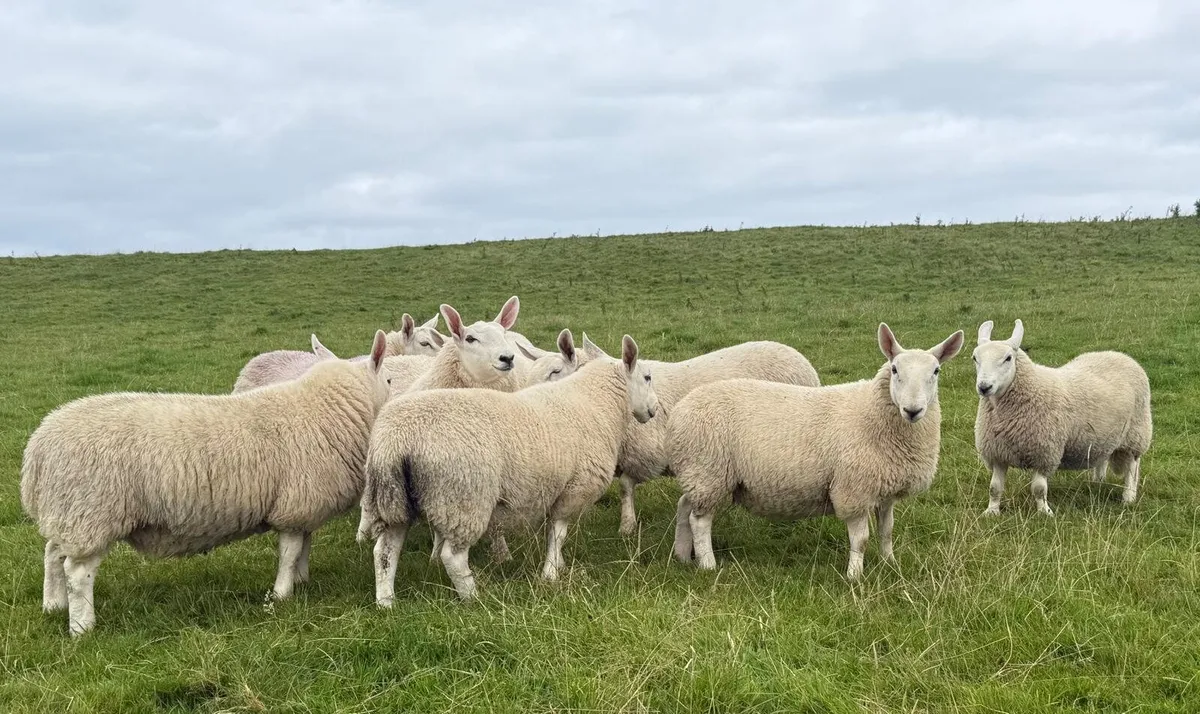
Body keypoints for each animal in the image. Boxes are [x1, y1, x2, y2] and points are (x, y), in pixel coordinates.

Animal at [21, 331, 392, 635]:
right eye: (389, 378)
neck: (329, 409)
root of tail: (39, 447)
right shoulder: (295, 503)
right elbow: (288, 553)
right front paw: (282, 595)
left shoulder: (303, 506)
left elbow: (304, 545)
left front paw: (302, 580)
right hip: (92, 513)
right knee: (77, 573)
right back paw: (82, 626)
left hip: (69, 513)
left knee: (52, 553)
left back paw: (53, 605)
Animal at [360, 330, 659, 604]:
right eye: (647, 377)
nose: (655, 409)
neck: (598, 401)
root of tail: (397, 439)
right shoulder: (574, 488)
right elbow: (558, 534)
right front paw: (550, 574)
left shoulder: (555, 488)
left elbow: (552, 533)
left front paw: (557, 565)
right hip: (463, 496)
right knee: (452, 556)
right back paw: (472, 597)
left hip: (393, 499)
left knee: (384, 552)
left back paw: (386, 602)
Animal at [669, 324, 964, 581]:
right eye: (894, 369)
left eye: (936, 371)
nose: (913, 410)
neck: (870, 413)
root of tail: (680, 410)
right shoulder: (853, 490)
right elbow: (861, 540)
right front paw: (854, 576)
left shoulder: (885, 491)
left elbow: (887, 531)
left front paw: (889, 563)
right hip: (709, 472)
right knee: (700, 521)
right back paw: (708, 564)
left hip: (701, 476)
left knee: (684, 506)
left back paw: (682, 555)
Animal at [973, 319, 1152, 516]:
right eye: (975, 358)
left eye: (1008, 358)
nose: (984, 387)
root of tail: (1118, 355)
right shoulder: (997, 452)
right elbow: (995, 488)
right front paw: (991, 512)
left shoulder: (1045, 453)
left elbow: (1039, 489)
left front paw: (1044, 512)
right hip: (1105, 436)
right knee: (1102, 459)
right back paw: (1097, 483)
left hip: (1136, 433)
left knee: (1132, 468)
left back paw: (1129, 497)